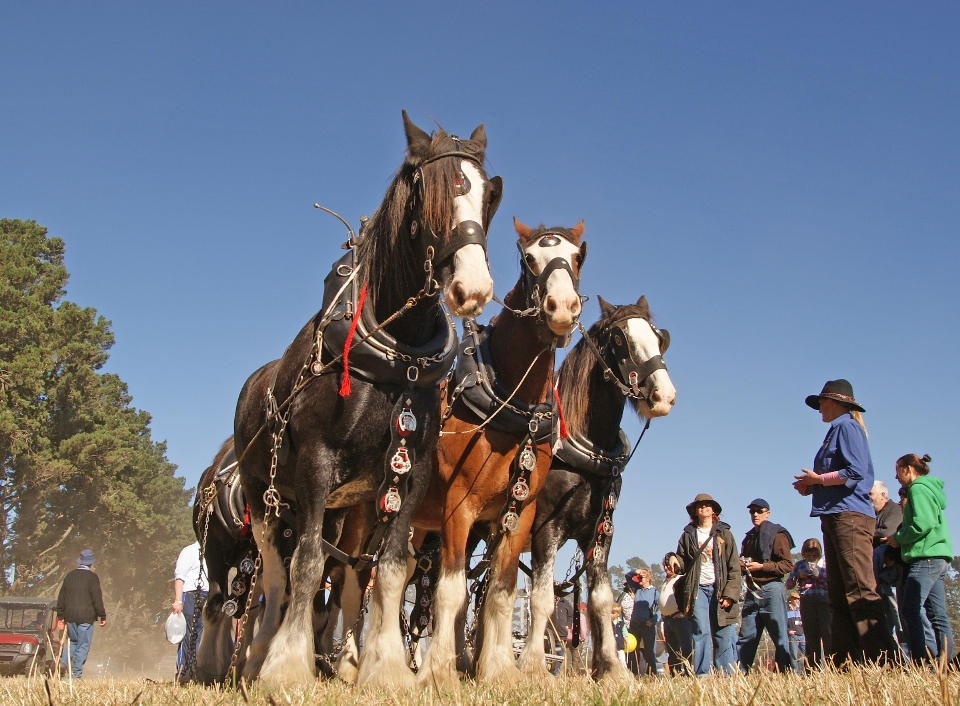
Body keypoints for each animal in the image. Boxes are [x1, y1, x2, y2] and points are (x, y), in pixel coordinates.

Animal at [235, 113, 502, 684]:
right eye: (429, 192)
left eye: (488, 196)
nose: (473, 288)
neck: (395, 355)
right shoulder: (317, 463)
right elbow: (308, 563)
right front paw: (286, 667)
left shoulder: (411, 472)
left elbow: (393, 568)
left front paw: (386, 667)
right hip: (265, 496)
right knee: (275, 577)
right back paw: (257, 655)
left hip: (344, 507)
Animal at [412, 217, 584, 684]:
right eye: (529, 259)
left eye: (578, 257)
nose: (562, 308)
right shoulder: (459, 507)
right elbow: (451, 592)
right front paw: (438, 672)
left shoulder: (518, 514)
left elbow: (502, 592)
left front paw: (498, 669)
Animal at [516, 294, 676, 680]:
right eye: (619, 339)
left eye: (659, 337)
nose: (664, 396)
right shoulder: (546, 528)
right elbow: (542, 598)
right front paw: (532, 665)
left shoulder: (601, 532)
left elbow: (601, 600)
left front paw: (612, 670)